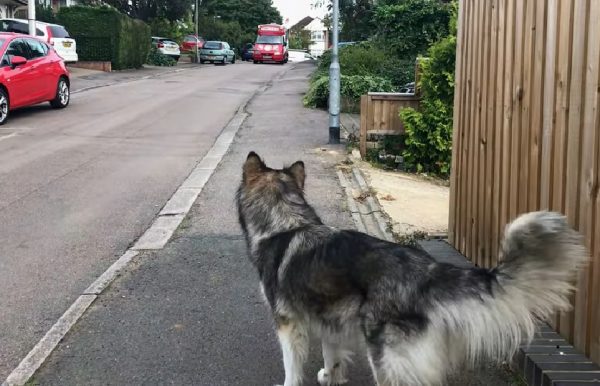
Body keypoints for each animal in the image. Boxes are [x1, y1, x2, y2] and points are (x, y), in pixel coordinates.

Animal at [237, 152, 588, 384]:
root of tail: (427, 271)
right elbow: (332, 359)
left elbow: (292, 368)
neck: (285, 224)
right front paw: (328, 376)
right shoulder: (328, 320)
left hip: (386, 358)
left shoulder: (289, 324)